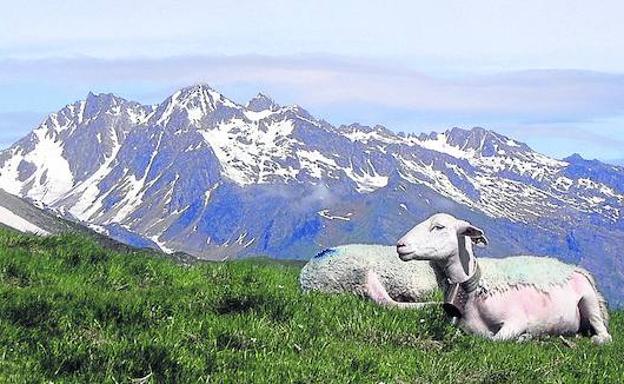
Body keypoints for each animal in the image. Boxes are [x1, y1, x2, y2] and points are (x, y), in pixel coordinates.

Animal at [398, 213, 612, 344]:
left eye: (438, 227)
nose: (400, 245)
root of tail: (575, 268)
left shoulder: (516, 320)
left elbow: (493, 339)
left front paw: (525, 337)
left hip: (589, 300)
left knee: (604, 332)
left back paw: (598, 339)